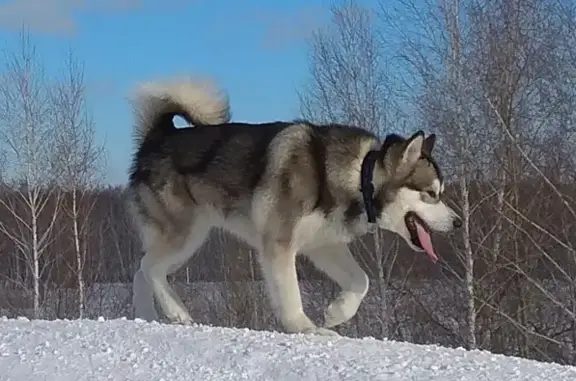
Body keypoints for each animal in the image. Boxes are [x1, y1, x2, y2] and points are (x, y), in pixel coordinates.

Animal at [128, 75, 462, 336]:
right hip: (186, 233)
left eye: (440, 192)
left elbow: (362, 280)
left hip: (185, 238)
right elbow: (290, 293)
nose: (458, 222)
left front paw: (336, 313)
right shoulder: (279, 243)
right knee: (150, 267)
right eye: (431, 193)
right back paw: (176, 311)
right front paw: (304, 327)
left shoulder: (323, 244)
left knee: (141, 270)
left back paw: (147, 317)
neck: (358, 176)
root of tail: (159, 136)